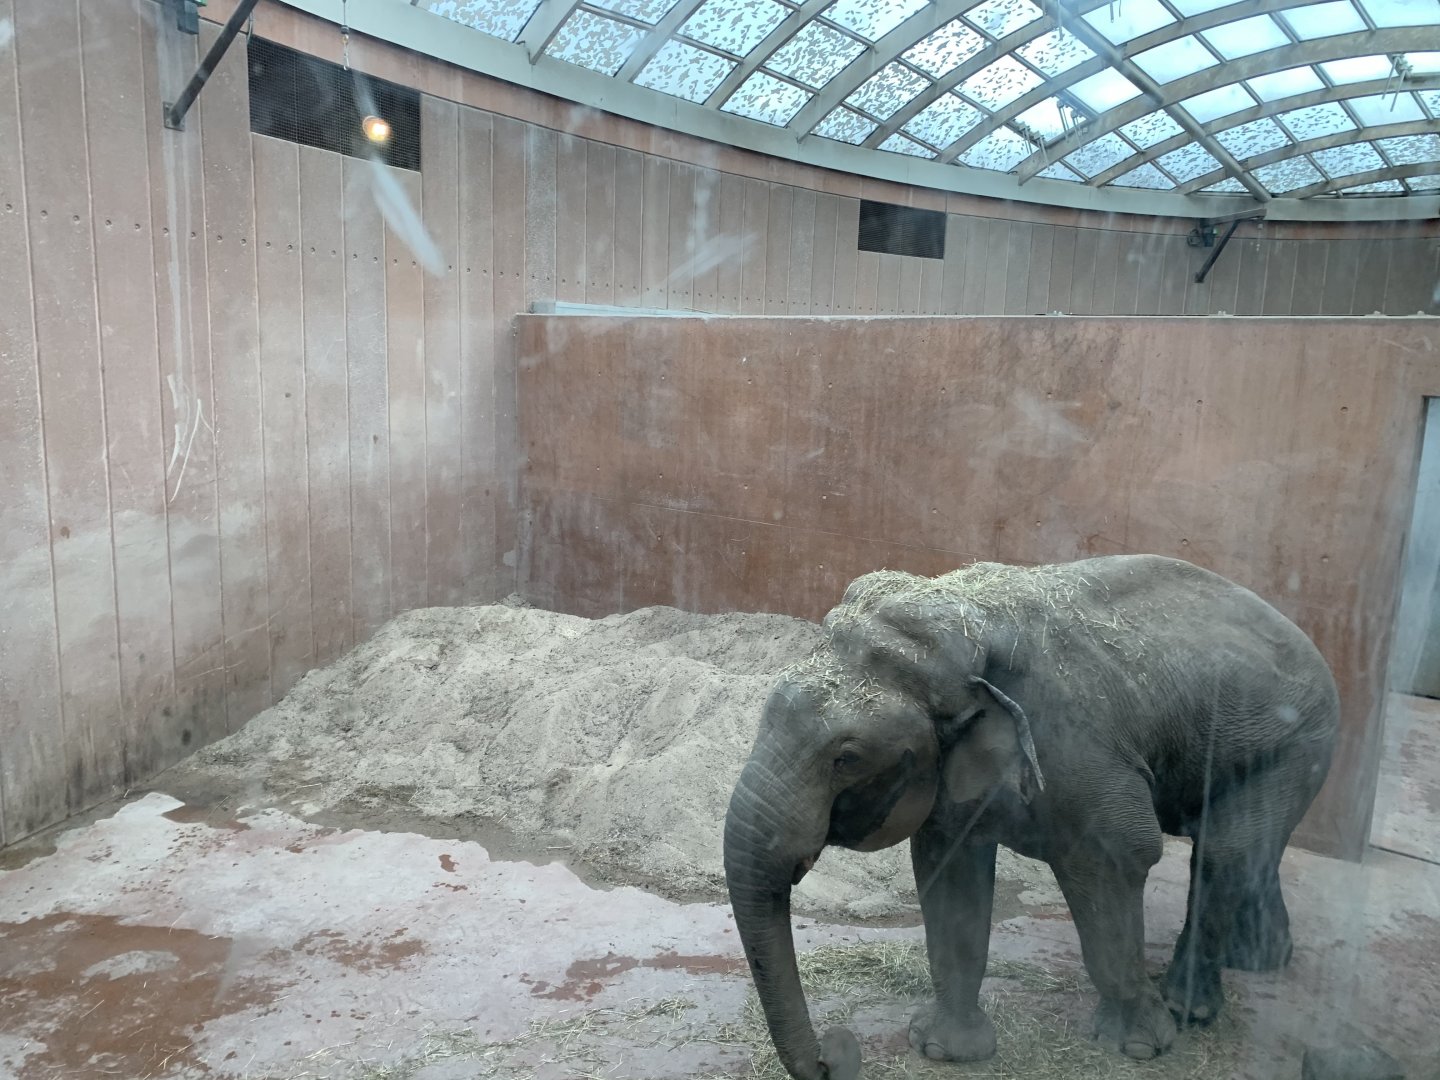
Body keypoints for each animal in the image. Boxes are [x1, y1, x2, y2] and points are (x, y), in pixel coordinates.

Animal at [723, 554, 1339, 1080]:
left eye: (846, 758)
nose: (836, 1051)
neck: (972, 622)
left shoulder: (1078, 747)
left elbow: (1118, 857)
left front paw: (1139, 1048)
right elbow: (950, 873)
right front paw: (946, 1050)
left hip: (1296, 739)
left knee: (1227, 850)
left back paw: (1189, 1008)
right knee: (1244, 849)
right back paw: (1257, 961)